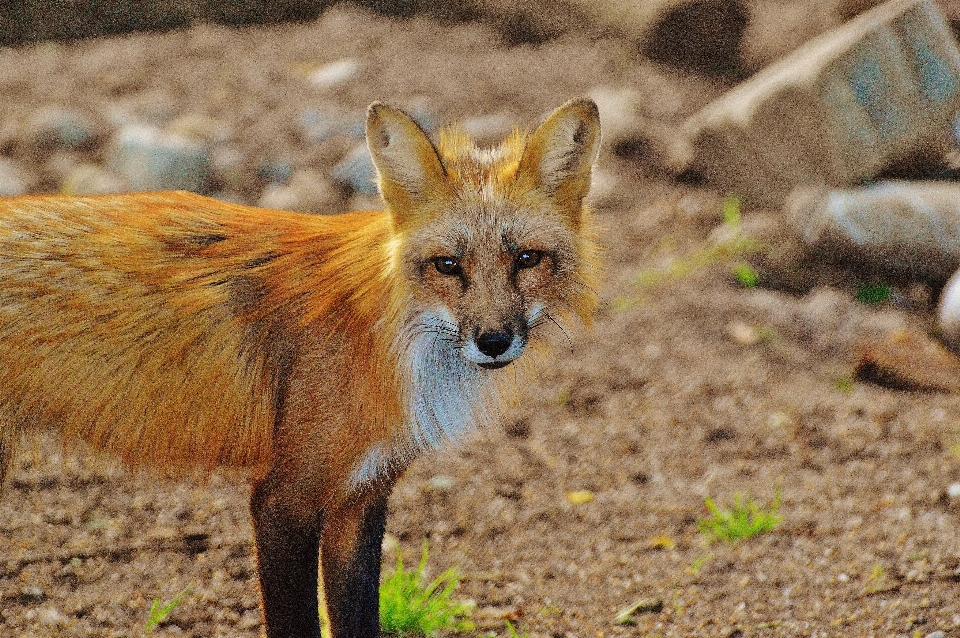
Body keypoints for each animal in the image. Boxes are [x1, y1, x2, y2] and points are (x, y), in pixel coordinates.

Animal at [0, 100, 600, 638]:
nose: (493, 342)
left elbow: (359, 622)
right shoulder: (283, 500)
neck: (386, 338)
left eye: (527, 259)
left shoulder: (361, 499)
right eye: (447, 265)